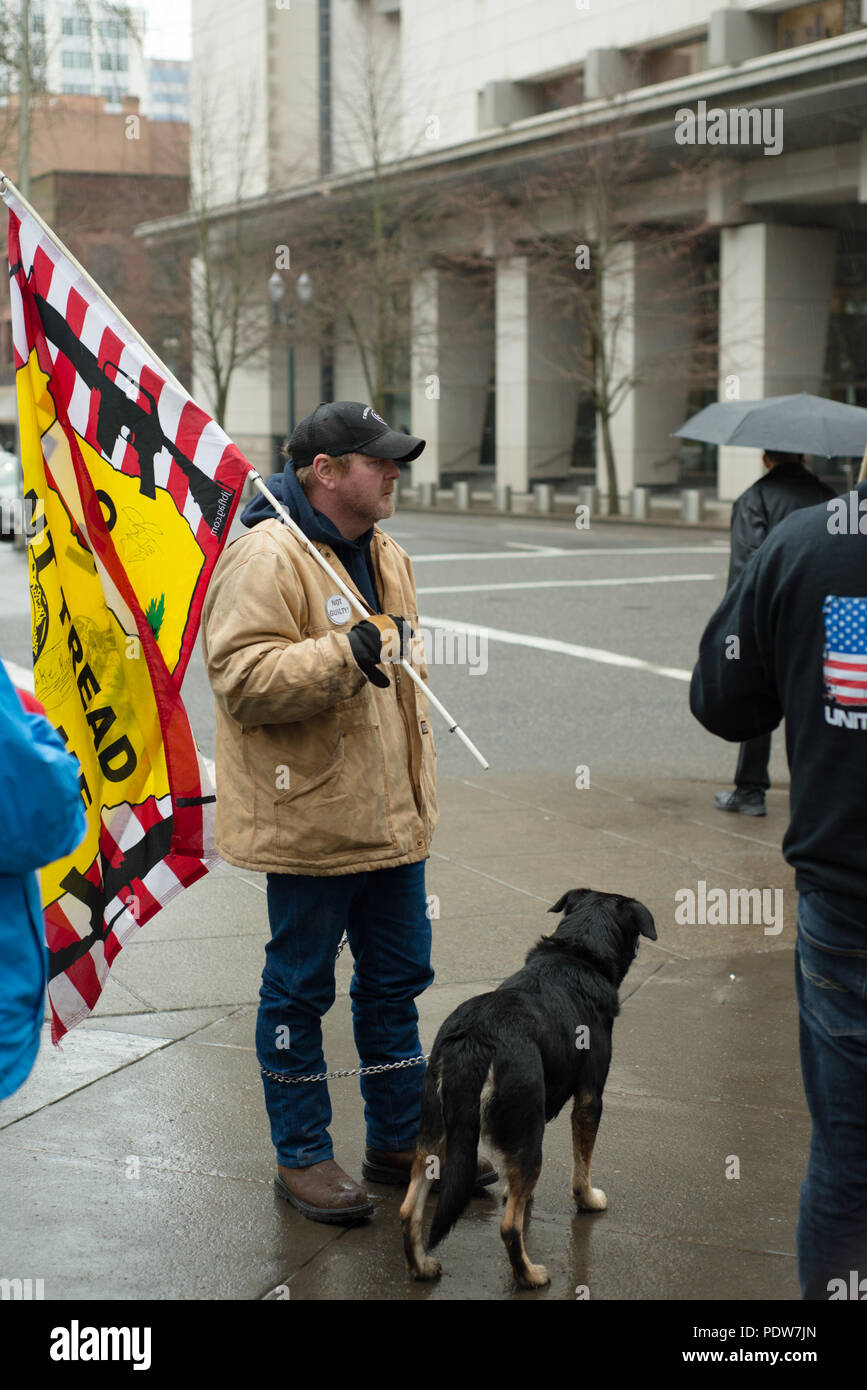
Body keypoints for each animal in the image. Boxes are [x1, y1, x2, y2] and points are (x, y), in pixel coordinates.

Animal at [400, 889, 655, 1289]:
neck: (576, 951)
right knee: (508, 1227)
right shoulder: (589, 1097)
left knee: (409, 1208)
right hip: (526, 1131)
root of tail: (476, 1037)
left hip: (434, 1130)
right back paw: (530, 1275)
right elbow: (582, 1166)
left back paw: (421, 1266)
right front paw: (588, 1200)